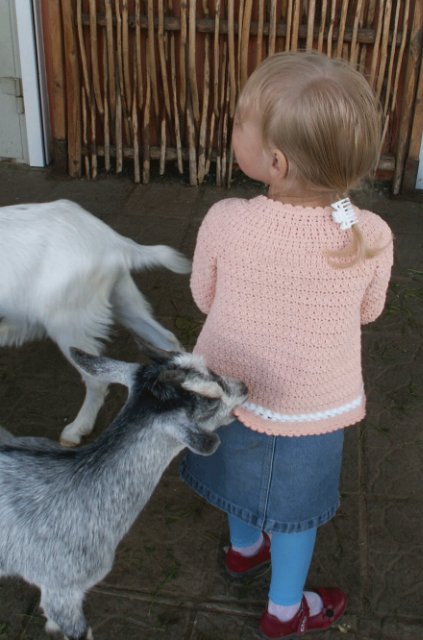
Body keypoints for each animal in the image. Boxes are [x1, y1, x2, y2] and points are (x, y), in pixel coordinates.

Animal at [0, 200, 190, 444]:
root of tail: (111, 240)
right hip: (121, 298)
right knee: (166, 339)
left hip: (67, 322)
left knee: (97, 381)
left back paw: (76, 430)